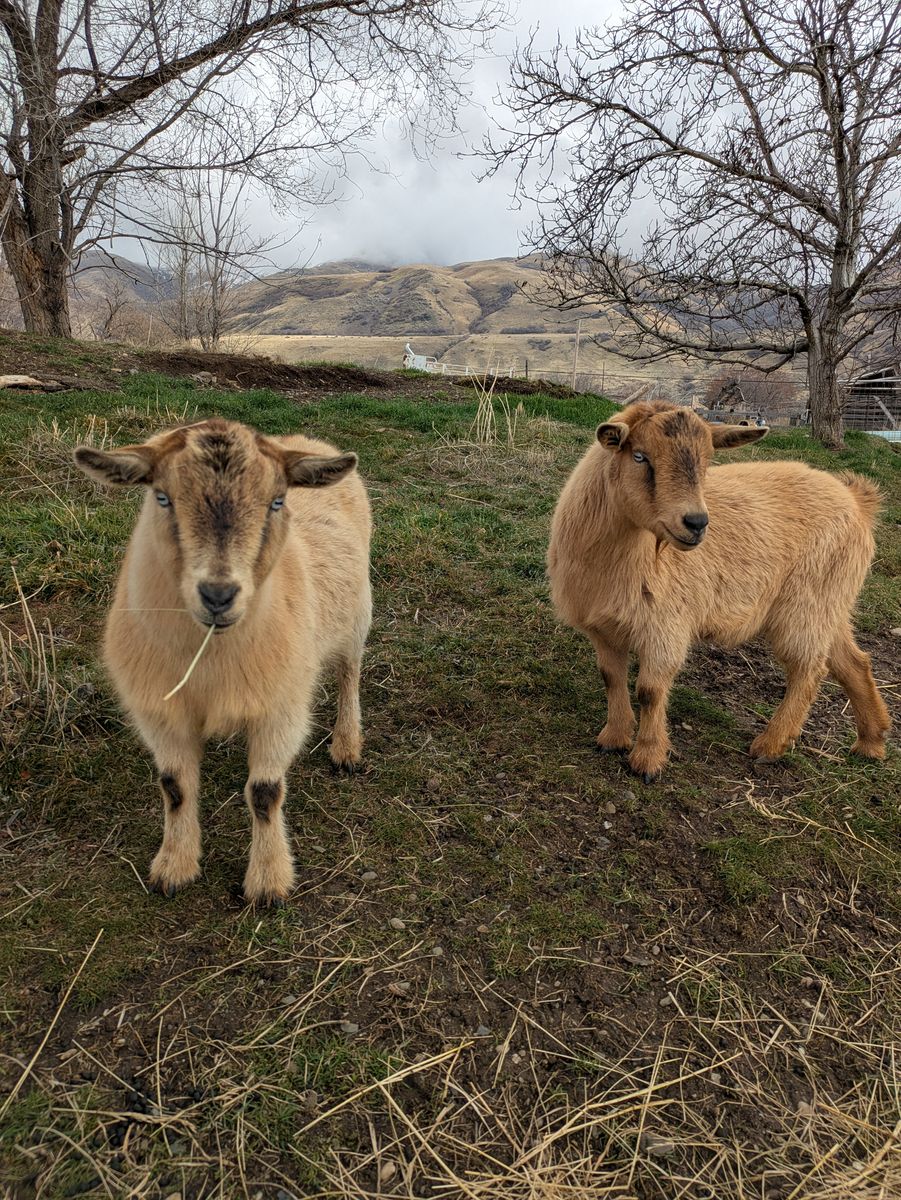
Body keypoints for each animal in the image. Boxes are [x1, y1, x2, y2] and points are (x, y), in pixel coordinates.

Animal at [74, 418, 371, 905]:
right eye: (162, 497)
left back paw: (346, 745)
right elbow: (174, 787)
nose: (218, 595)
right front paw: (173, 868)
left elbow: (265, 793)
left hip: (357, 613)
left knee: (349, 674)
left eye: (277, 501)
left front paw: (268, 882)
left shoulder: (280, 708)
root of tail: (306, 441)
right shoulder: (161, 711)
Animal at [548, 400, 890, 782]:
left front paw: (647, 760)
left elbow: (650, 691)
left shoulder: (666, 624)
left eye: (708, 461)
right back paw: (871, 742)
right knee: (853, 662)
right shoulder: (602, 627)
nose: (697, 523)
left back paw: (771, 744)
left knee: (810, 668)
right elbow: (611, 677)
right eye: (639, 456)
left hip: (806, 602)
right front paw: (614, 738)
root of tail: (858, 501)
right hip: (831, 601)